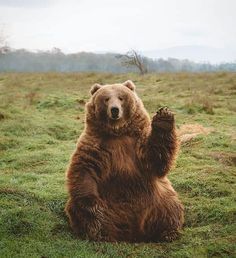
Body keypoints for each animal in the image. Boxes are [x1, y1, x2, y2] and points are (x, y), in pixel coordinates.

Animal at [65, 80, 184, 242]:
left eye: (121, 98)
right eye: (106, 99)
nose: (115, 110)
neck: (118, 132)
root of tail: (133, 232)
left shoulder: (137, 144)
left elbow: (156, 159)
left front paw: (163, 118)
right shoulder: (94, 145)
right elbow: (84, 170)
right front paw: (92, 205)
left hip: (157, 200)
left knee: (169, 207)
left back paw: (167, 233)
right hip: (110, 206)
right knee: (83, 213)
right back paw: (100, 232)